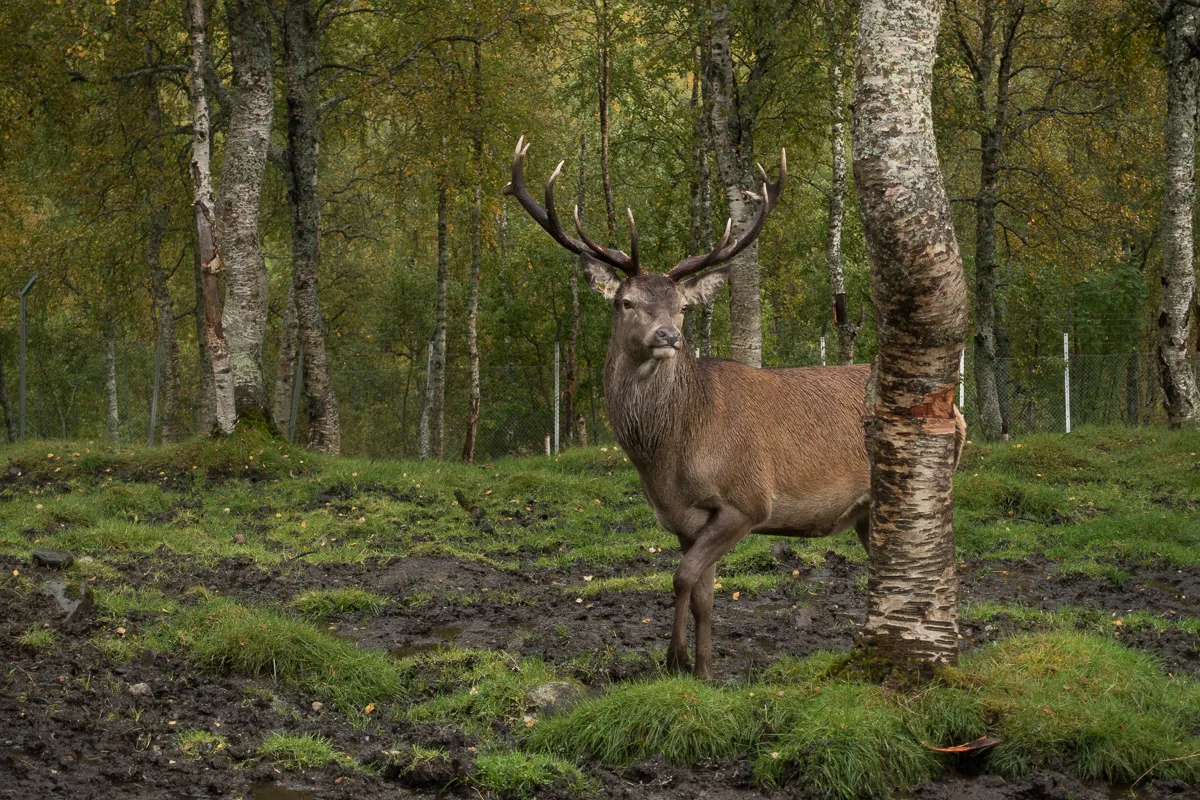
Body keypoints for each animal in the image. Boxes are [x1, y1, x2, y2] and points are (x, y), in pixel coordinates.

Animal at [503, 137, 966, 679]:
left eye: (683, 306)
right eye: (626, 302)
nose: (669, 336)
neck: (667, 458)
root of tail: (957, 412)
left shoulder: (746, 501)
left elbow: (683, 578)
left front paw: (676, 659)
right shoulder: (682, 520)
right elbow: (704, 593)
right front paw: (702, 669)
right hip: (869, 513)